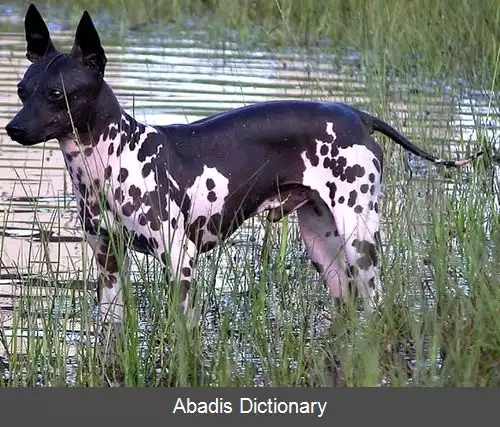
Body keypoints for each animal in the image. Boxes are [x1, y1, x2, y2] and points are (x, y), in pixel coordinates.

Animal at [2, 3, 480, 332]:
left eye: (57, 94)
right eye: (23, 90)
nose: (13, 128)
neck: (112, 159)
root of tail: (357, 116)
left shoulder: (181, 262)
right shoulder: (108, 265)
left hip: (358, 239)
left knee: (377, 303)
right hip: (323, 248)